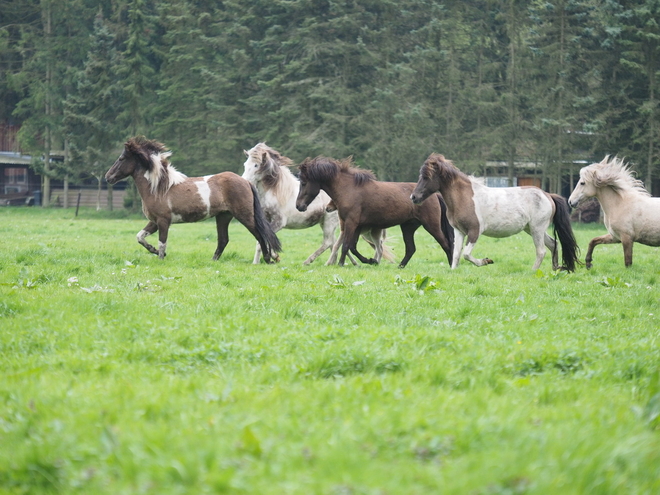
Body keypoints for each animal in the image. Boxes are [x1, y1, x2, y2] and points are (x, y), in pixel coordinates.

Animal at [105, 136, 282, 264]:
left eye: (121, 158)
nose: (108, 177)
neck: (158, 188)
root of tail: (245, 181)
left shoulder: (163, 221)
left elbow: (162, 242)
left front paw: (161, 258)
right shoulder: (154, 221)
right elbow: (140, 237)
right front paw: (154, 250)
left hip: (244, 215)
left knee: (260, 234)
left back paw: (268, 259)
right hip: (223, 216)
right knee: (223, 240)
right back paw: (213, 261)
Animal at [245, 143, 392, 266]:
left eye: (256, 165)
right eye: (245, 164)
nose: (245, 181)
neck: (277, 191)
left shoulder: (279, 222)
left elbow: (262, 240)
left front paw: (262, 260)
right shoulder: (266, 220)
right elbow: (264, 239)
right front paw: (269, 258)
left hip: (329, 223)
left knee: (329, 242)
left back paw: (311, 261)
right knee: (335, 242)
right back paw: (344, 262)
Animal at [410, 154, 580, 272]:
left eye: (427, 176)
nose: (413, 197)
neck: (464, 197)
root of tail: (548, 195)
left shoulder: (474, 231)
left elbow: (466, 254)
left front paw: (486, 261)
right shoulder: (459, 231)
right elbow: (456, 254)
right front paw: (453, 271)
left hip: (536, 229)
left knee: (541, 251)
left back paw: (533, 271)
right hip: (532, 229)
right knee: (553, 245)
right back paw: (555, 268)